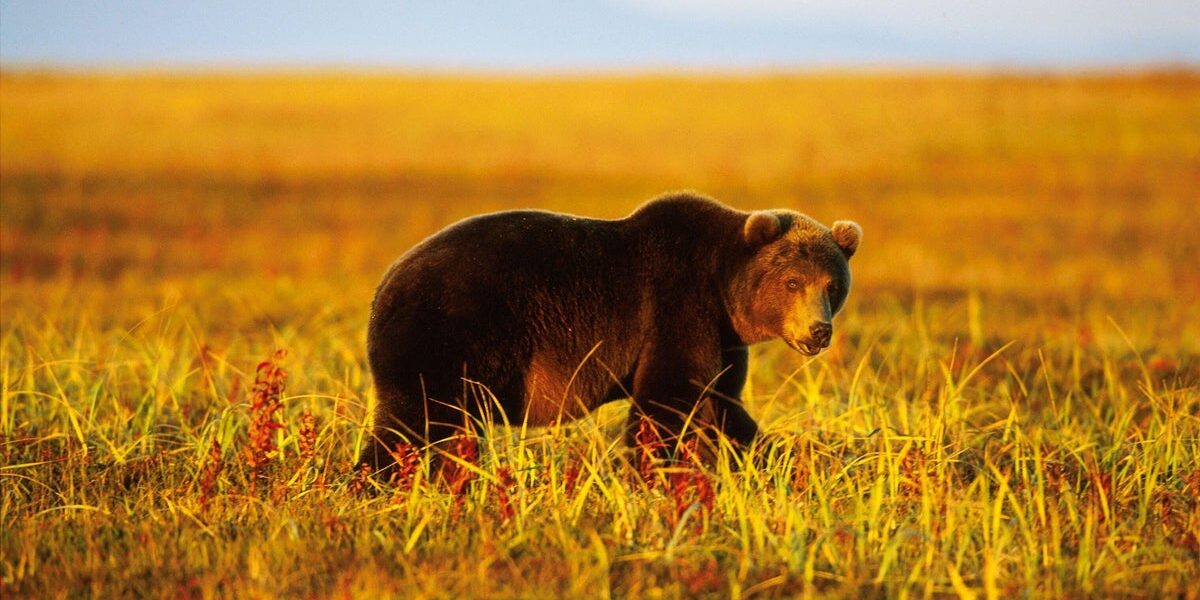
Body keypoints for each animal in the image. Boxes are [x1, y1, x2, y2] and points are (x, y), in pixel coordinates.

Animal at [359, 192, 861, 470]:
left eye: (833, 285)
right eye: (793, 282)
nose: (818, 331)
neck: (722, 287)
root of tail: (383, 284)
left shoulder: (724, 339)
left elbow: (721, 404)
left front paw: (772, 460)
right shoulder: (677, 305)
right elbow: (666, 397)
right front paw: (652, 473)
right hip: (446, 332)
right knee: (416, 419)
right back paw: (379, 481)